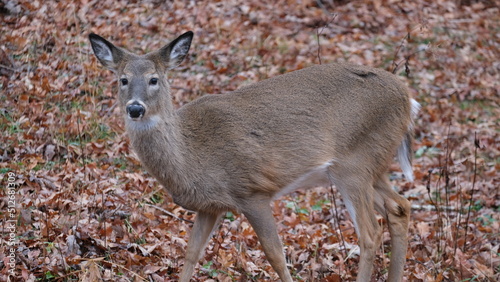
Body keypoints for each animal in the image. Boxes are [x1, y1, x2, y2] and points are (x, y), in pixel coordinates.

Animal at [89, 30, 418, 282]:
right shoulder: (211, 206)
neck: (192, 154)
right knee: (399, 207)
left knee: (370, 233)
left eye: (154, 79)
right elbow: (191, 254)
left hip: (354, 165)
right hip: (371, 165)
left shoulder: (252, 191)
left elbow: (276, 255)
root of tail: (408, 97)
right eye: (122, 79)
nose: (135, 108)